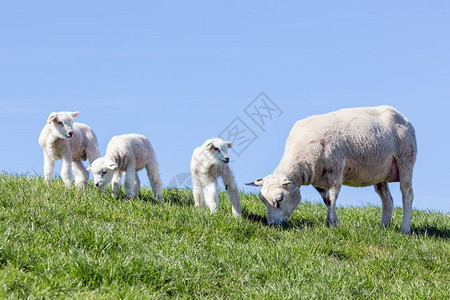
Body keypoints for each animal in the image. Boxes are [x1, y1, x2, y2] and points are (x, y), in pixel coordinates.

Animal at [248, 105, 416, 234]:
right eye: (262, 200)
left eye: (279, 199)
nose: (273, 226)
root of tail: (402, 116)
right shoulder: (318, 180)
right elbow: (326, 200)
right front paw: (334, 222)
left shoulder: (335, 170)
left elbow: (331, 198)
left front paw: (331, 223)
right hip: (380, 171)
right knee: (387, 199)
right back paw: (383, 227)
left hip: (405, 159)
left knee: (407, 195)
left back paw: (405, 229)